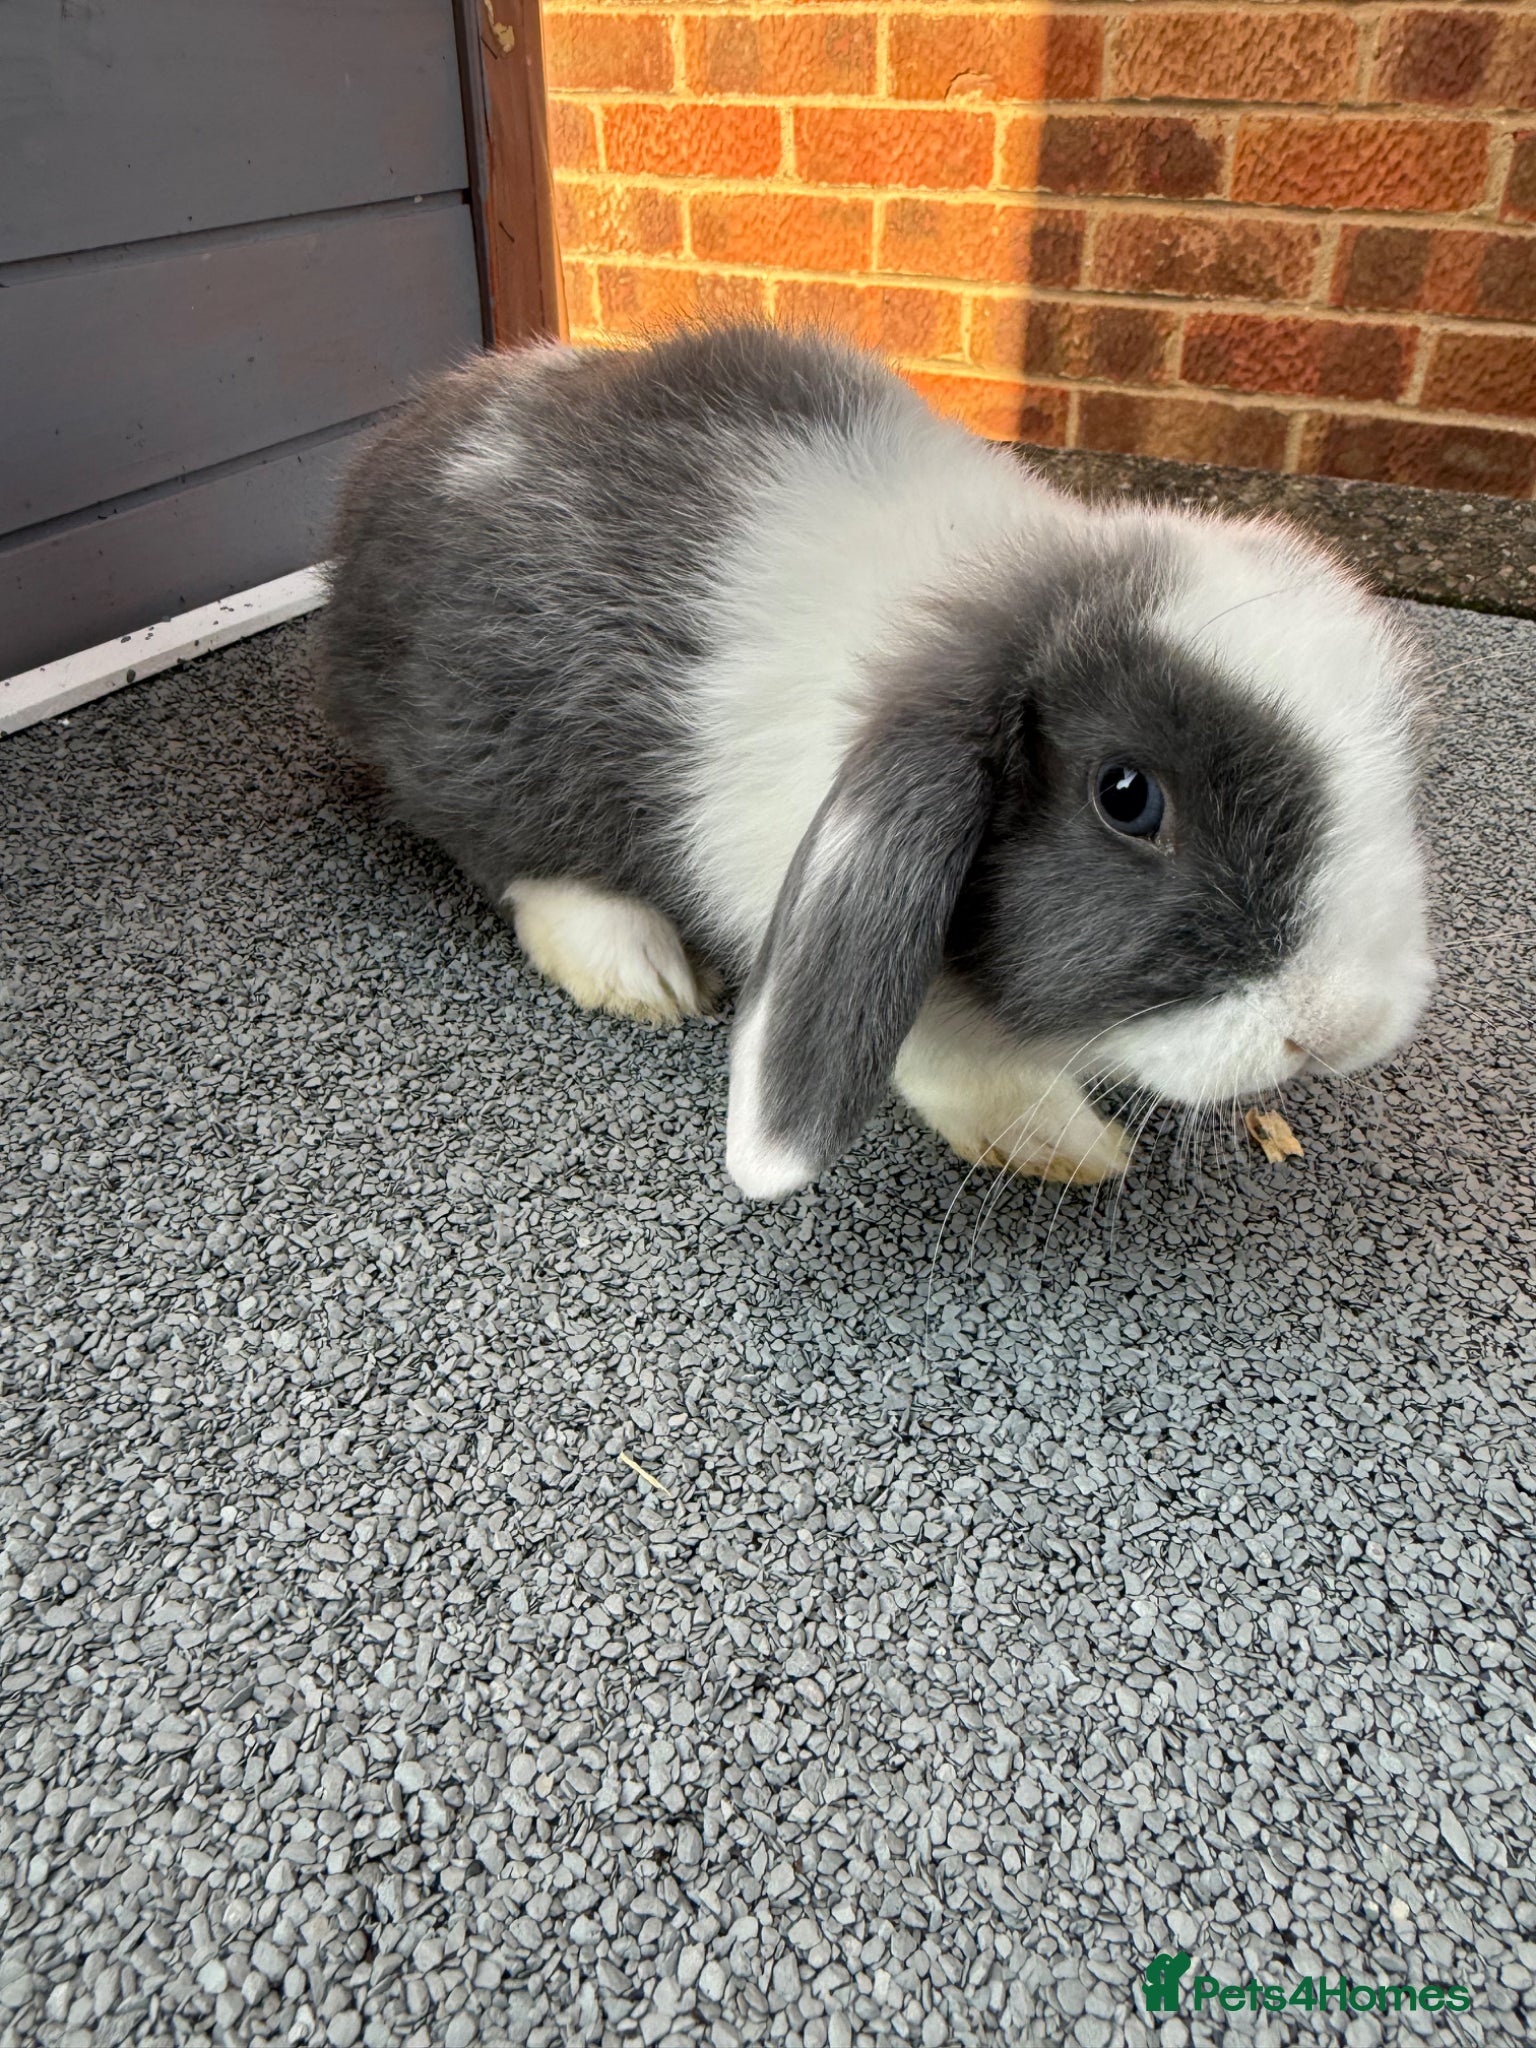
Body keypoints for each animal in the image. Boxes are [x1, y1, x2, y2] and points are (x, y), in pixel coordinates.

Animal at [318, 324, 1434, 1199]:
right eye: (1128, 796)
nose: (1345, 1022)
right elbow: (938, 1042)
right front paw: (1058, 1139)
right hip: (491, 738)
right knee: (510, 850)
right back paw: (636, 968)